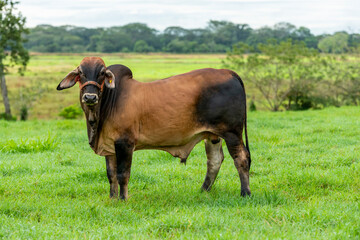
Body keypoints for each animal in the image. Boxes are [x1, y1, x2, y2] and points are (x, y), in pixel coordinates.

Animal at [57, 57, 252, 200]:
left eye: (102, 73)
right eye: (80, 73)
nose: (90, 97)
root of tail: (227, 71)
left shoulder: (124, 143)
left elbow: (122, 174)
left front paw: (123, 199)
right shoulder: (109, 145)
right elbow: (110, 174)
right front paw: (112, 198)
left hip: (232, 133)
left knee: (241, 158)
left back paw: (245, 193)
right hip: (212, 135)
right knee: (214, 161)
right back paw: (203, 190)